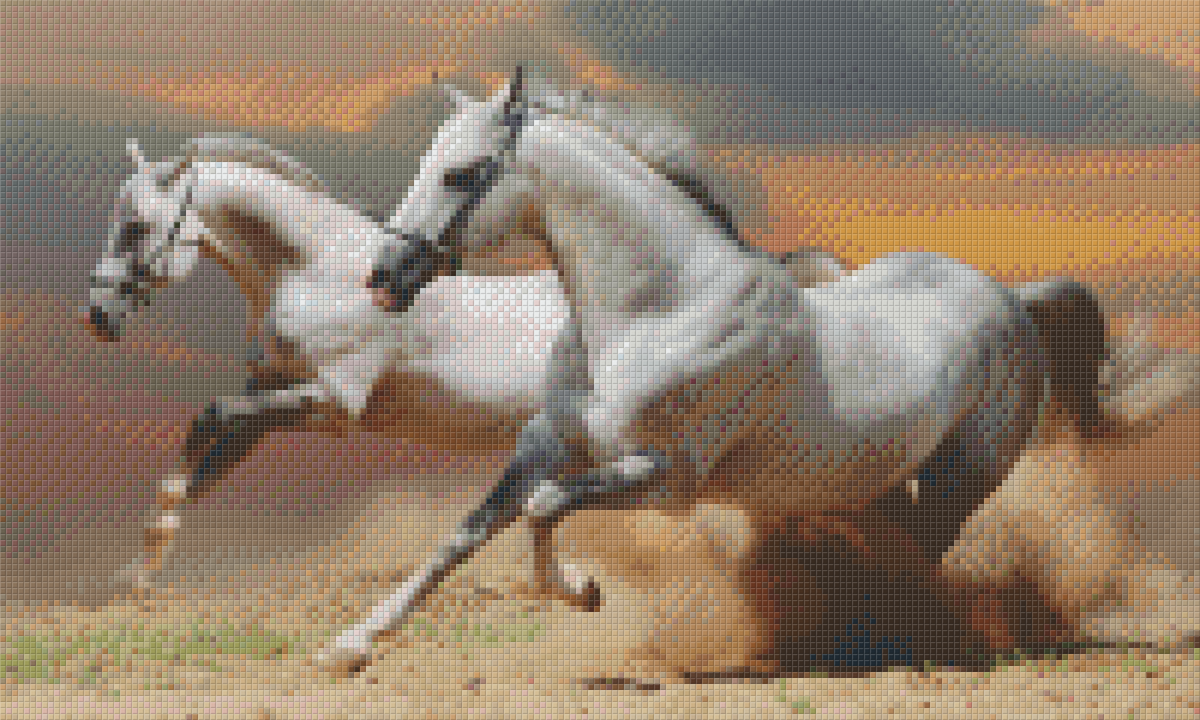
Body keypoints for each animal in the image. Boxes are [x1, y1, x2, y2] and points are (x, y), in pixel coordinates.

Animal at [85, 134, 847, 591]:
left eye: (136, 226)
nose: (96, 316)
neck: (313, 268)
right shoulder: (272, 401)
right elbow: (201, 461)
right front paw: (138, 575)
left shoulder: (331, 406)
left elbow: (210, 417)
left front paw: (144, 563)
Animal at [319, 67, 1116, 673]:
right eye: (427, 162)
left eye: (461, 174)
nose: (383, 279)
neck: (658, 312)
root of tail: (1011, 298)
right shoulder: (547, 442)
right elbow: (469, 531)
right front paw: (351, 644)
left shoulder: (668, 477)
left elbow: (545, 507)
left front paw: (584, 592)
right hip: (874, 477)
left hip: (960, 476)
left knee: (921, 555)